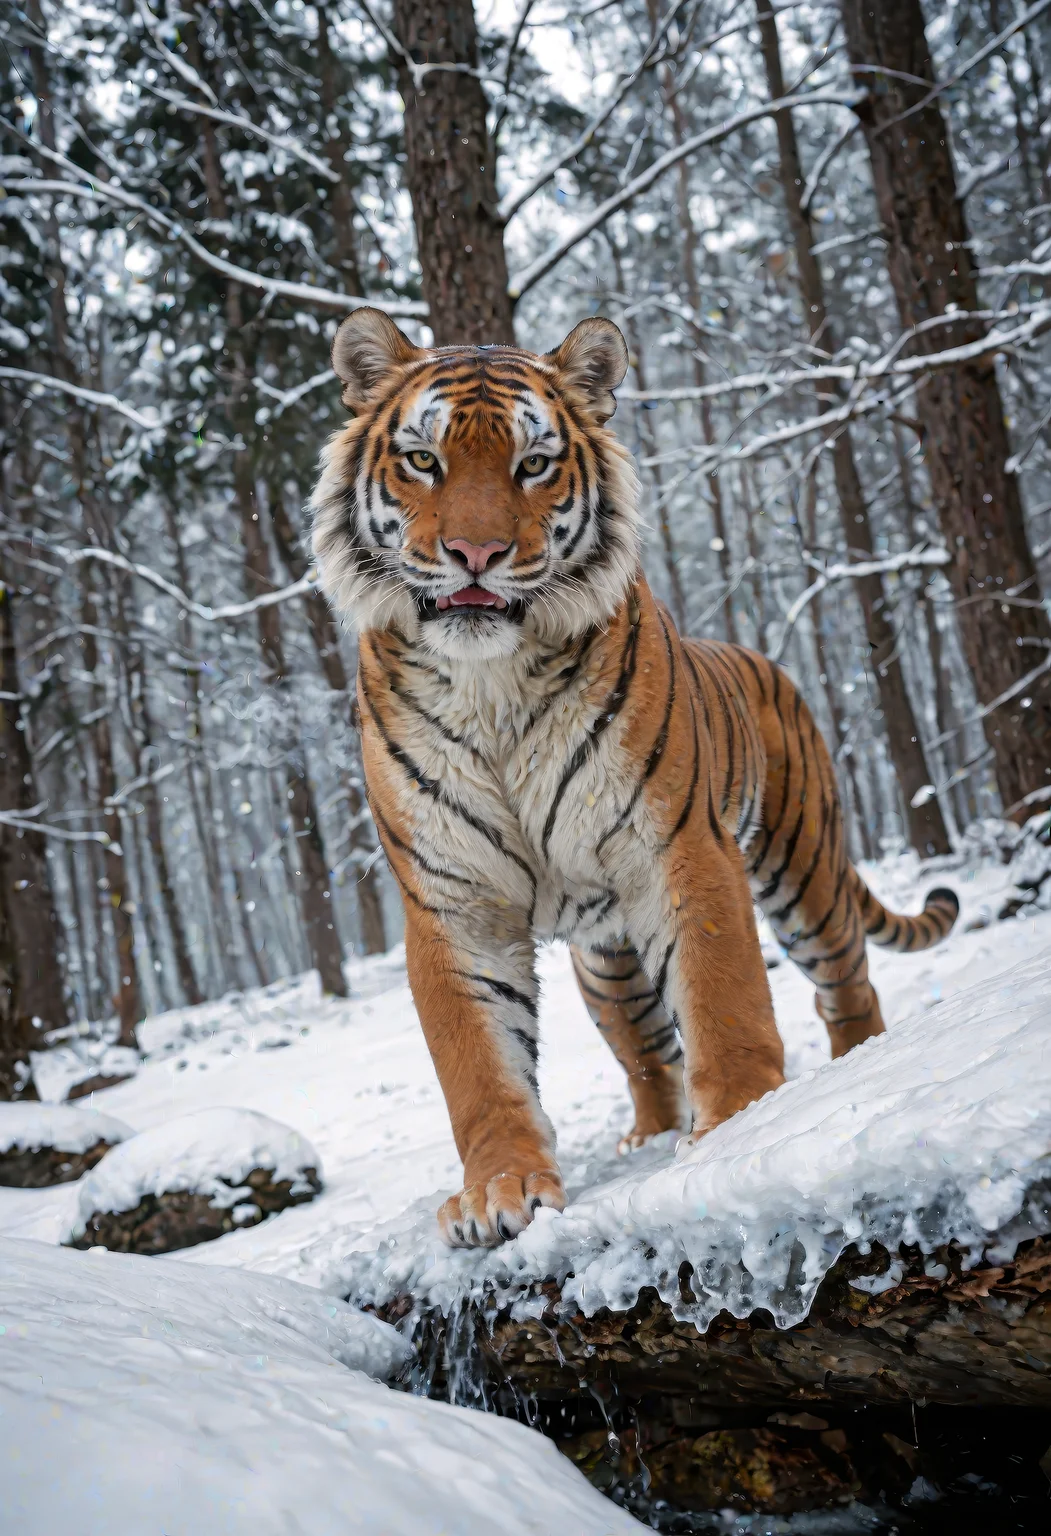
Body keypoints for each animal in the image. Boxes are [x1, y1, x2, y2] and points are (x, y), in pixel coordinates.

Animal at [311, 308, 959, 1250]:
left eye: (532, 464)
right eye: (423, 460)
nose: (475, 552)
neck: (490, 682)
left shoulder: (679, 845)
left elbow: (723, 1002)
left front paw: (740, 1126)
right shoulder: (453, 901)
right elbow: (478, 1065)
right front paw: (499, 1191)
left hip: (804, 876)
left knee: (847, 988)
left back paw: (852, 1064)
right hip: (607, 966)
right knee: (648, 1053)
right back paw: (647, 1135)